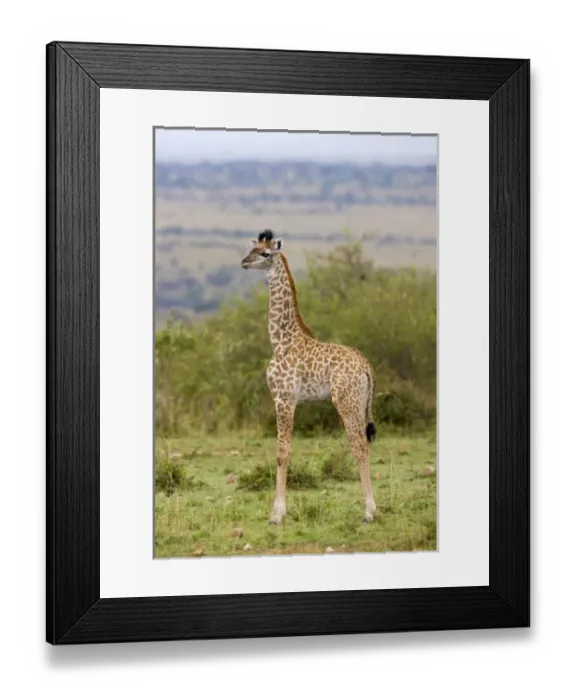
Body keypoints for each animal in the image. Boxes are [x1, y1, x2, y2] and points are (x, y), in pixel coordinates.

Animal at [241, 230, 377, 525]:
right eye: (252, 250)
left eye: (265, 253)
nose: (244, 262)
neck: (281, 341)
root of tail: (366, 367)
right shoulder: (288, 401)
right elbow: (285, 450)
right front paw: (278, 510)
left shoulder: (284, 399)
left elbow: (282, 452)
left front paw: (277, 514)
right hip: (362, 402)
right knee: (364, 444)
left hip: (347, 402)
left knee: (359, 445)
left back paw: (370, 511)